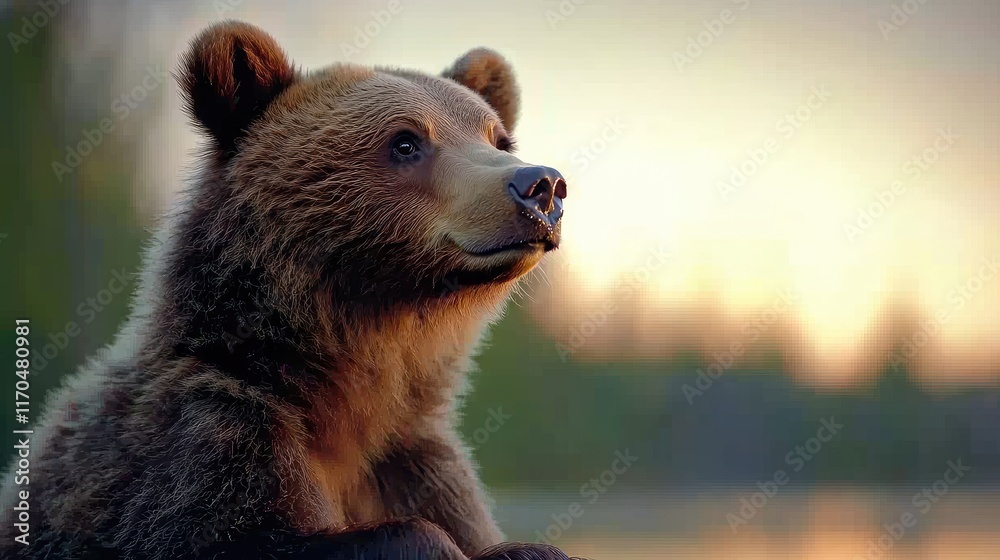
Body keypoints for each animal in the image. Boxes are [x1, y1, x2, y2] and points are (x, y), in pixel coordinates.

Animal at [0, 20, 575, 560]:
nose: (541, 185)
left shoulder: (418, 465)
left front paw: (529, 549)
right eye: (406, 141)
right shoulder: (208, 441)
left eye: (497, 138)